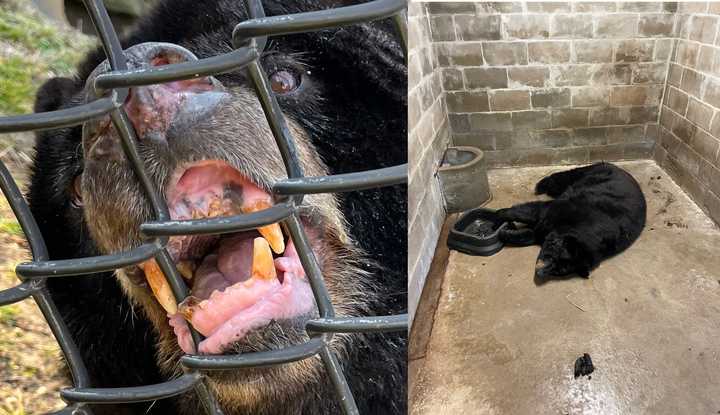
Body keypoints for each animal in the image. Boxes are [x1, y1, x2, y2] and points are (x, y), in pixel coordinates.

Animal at [496, 162, 648, 282]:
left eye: (559, 271)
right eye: (552, 258)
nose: (539, 273)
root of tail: (618, 167)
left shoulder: (547, 228)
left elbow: (530, 234)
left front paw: (506, 233)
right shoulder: (556, 210)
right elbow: (523, 212)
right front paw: (495, 215)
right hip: (584, 174)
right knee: (560, 179)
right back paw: (542, 185)